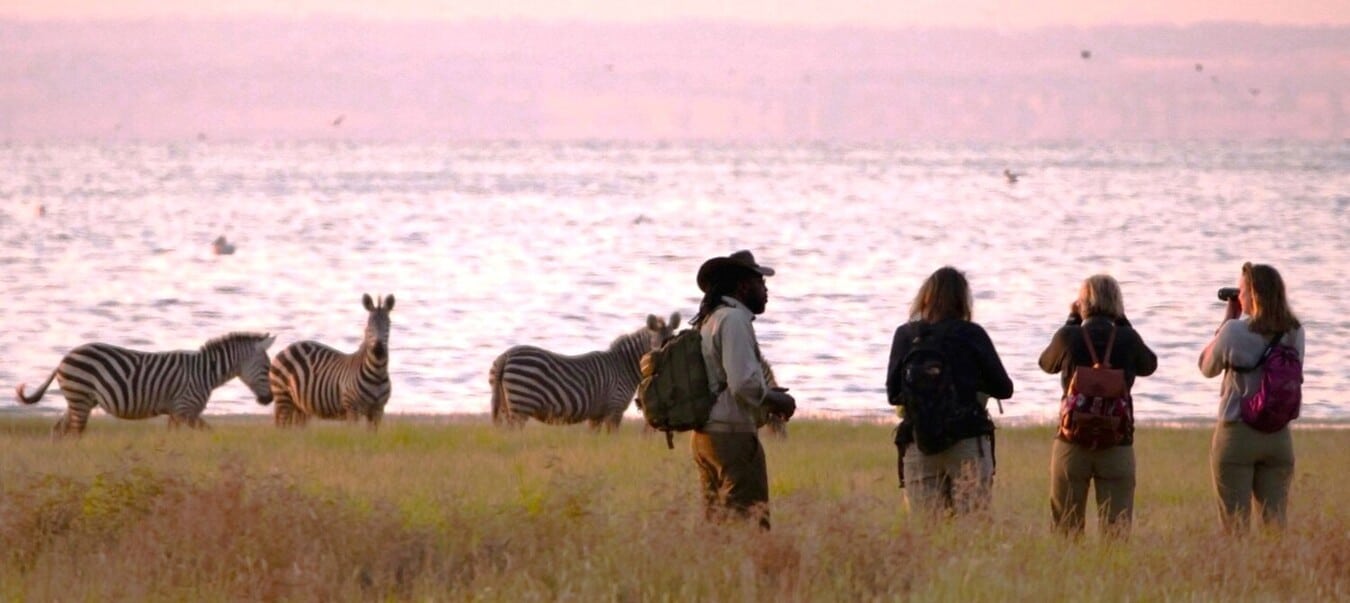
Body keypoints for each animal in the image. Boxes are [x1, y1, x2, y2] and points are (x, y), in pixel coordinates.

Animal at [15, 333, 276, 437]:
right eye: (266, 369)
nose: (269, 400)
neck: (205, 372)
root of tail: (64, 358)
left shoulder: (175, 413)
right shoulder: (185, 410)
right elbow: (209, 432)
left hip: (80, 400)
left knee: (59, 430)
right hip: (80, 397)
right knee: (74, 432)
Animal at [268, 294, 394, 428]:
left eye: (388, 325)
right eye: (369, 325)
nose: (378, 350)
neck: (377, 374)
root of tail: (287, 348)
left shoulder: (378, 410)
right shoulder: (352, 408)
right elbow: (354, 433)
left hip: (300, 406)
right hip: (283, 397)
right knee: (281, 427)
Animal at [491, 314, 680, 431]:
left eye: (674, 343)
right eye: (656, 346)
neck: (624, 366)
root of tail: (506, 356)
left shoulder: (597, 415)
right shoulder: (615, 409)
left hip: (507, 405)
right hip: (521, 404)